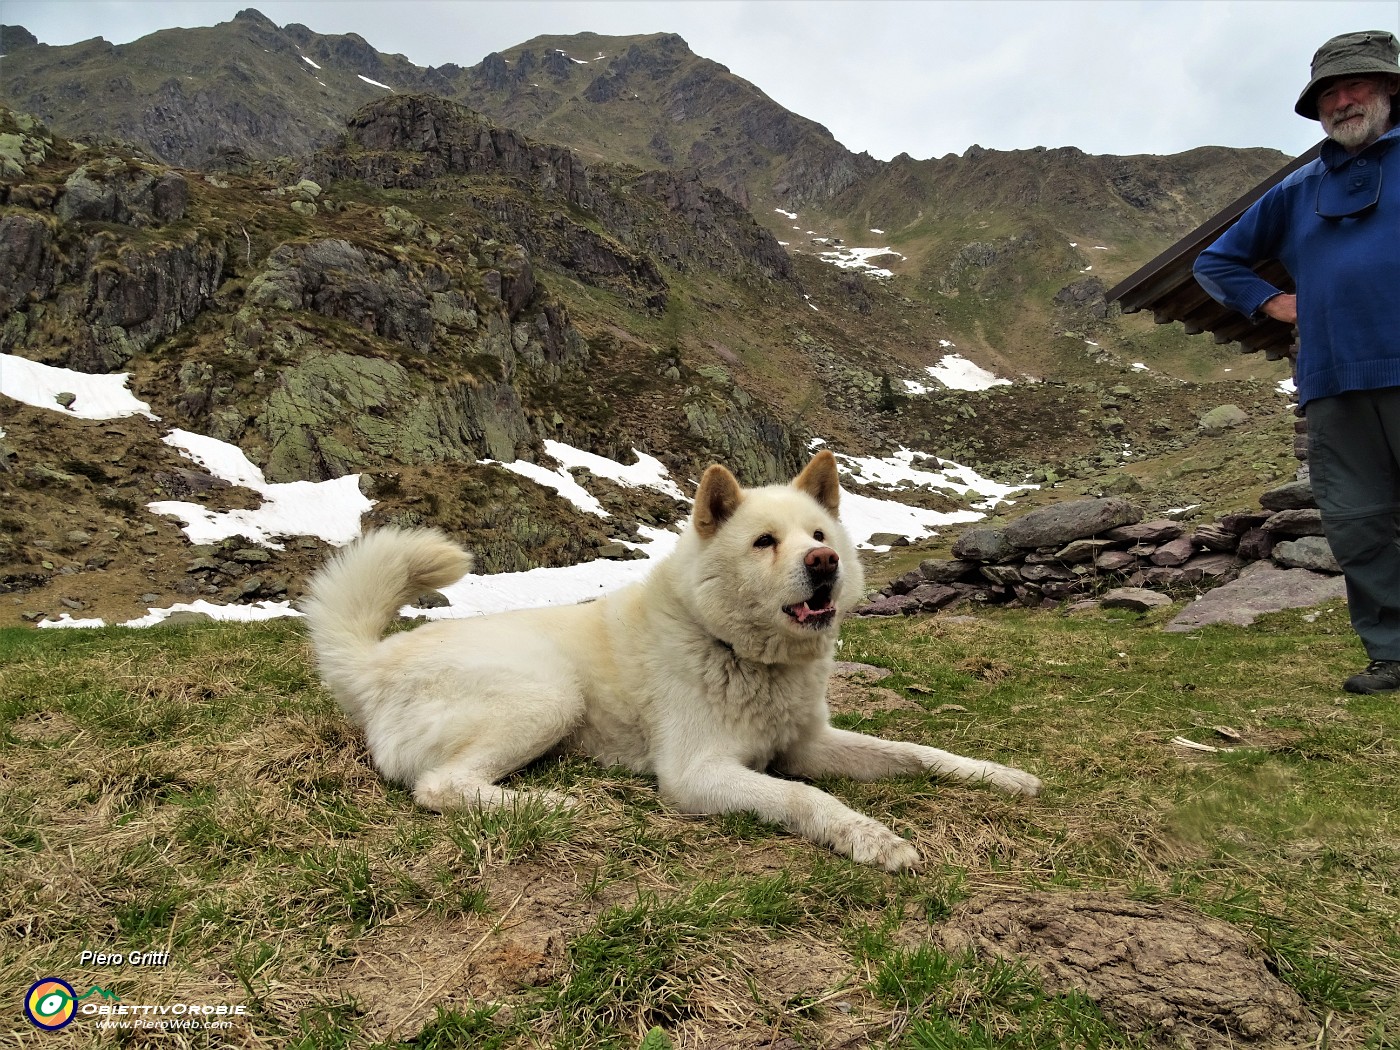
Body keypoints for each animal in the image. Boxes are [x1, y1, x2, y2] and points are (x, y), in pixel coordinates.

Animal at [303, 453, 1041, 873]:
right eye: (765, 542)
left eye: (818, 535)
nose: (824, 562)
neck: (739, 652)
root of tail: (373, 662)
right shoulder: (698, 774)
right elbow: (806, 797)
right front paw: (872, 838)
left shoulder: (808, 744)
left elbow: (917, 753)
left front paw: (1000, 776)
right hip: (548, 696)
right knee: (438, 786)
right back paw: (548, 802)